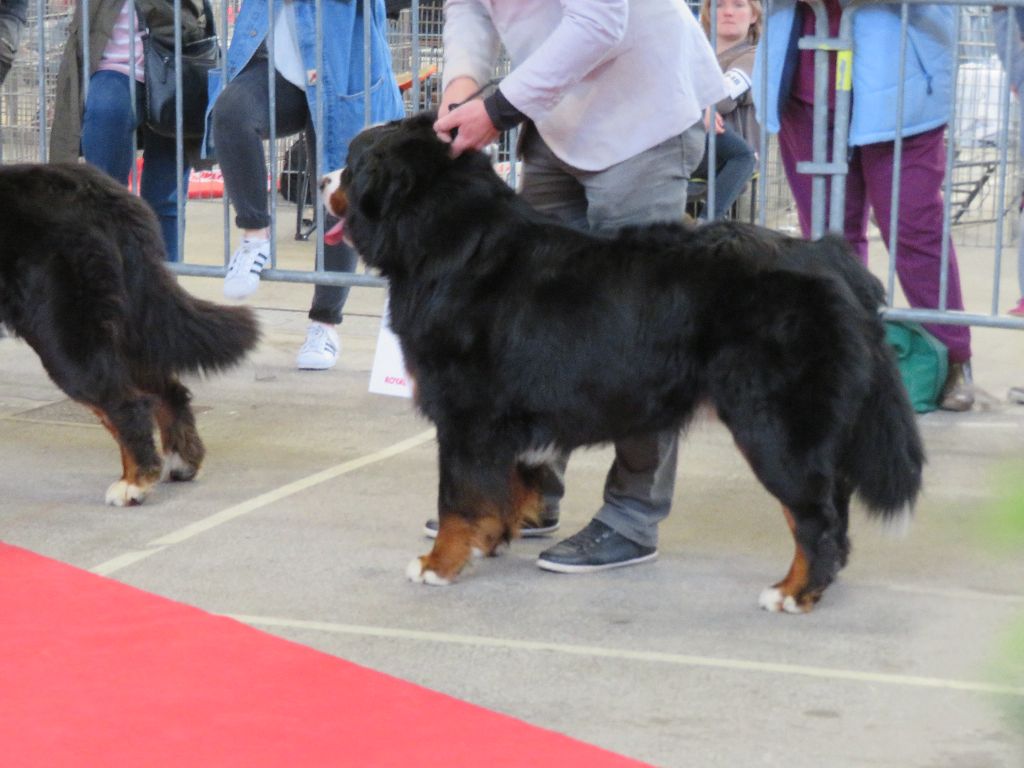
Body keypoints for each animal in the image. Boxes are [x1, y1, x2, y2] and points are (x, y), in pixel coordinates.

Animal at [0, 163, 260, 505]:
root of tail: (102, 194)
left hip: (64, 335)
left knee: (128, 404)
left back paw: (134, 482)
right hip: (127, 327)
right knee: (166, 390)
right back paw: (182, 461)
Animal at [321, 114, 929, 618]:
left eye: (351, 161)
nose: (325, 180)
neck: (447, 238)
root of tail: (825, 254)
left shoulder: (467, 415)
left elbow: (456, 496)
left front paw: (439, 563)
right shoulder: (507, 418)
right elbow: (504, 487)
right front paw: (489, 539)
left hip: (774, 425)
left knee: (816, 516)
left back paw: (794, 591)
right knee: (833, 508)